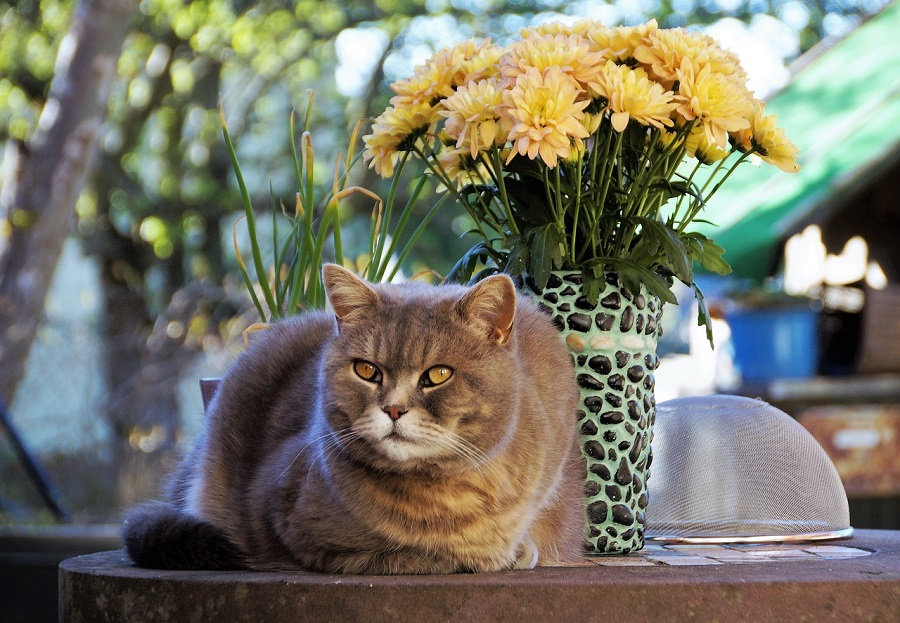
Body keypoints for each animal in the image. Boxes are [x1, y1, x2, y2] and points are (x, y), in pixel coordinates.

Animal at [123, 264, 584, 576]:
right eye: (367, 370)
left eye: (438, 374)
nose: (394, 409)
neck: (444, 490)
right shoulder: (298, 530)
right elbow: (414, 554)